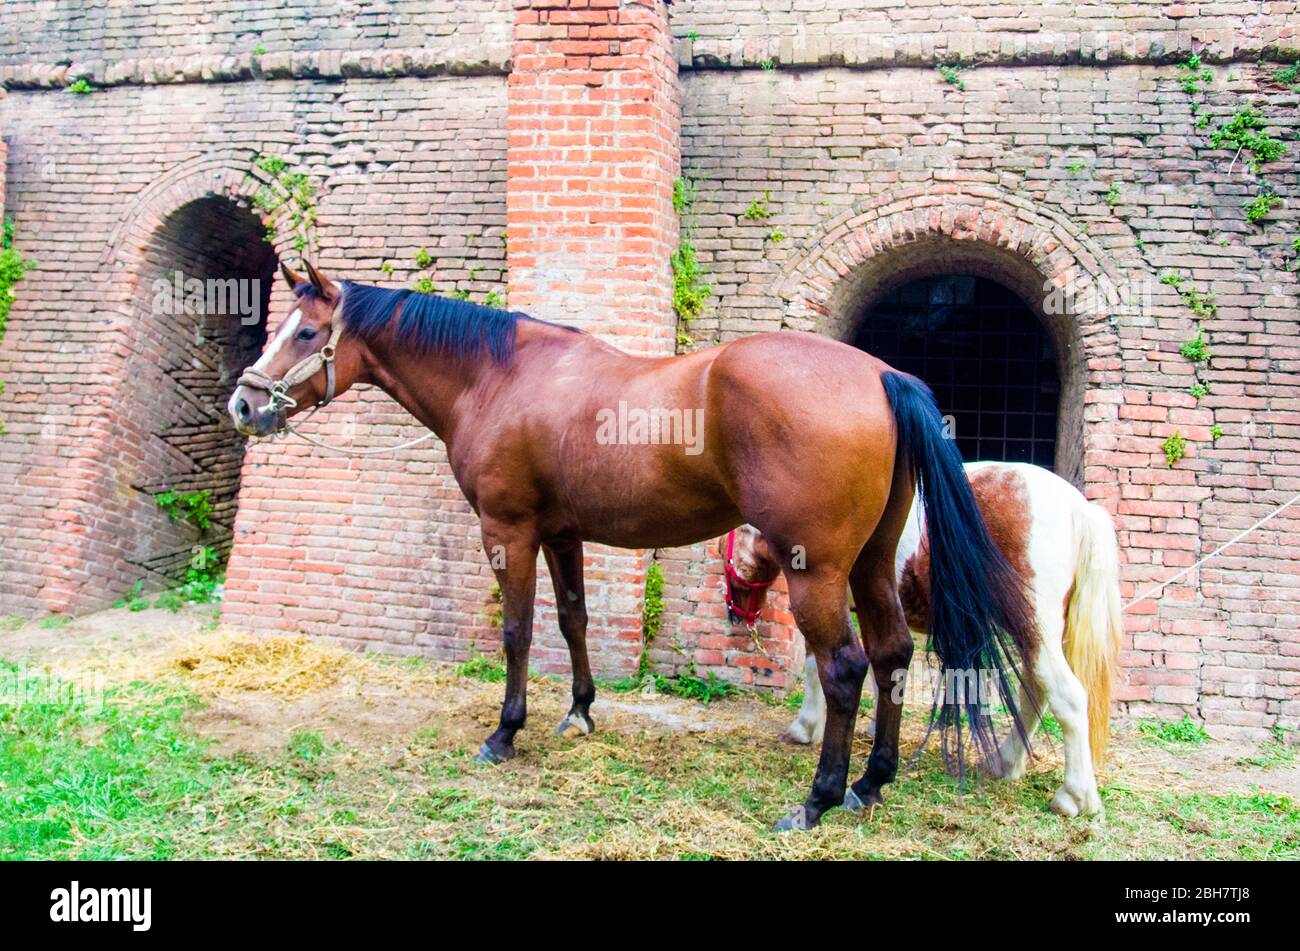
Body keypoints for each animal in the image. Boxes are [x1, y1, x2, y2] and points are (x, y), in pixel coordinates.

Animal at [228, 262, 1040, 831]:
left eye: (305, 333)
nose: (243, 402)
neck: (499, 376)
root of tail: (881, 372)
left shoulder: (508, 531)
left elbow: (518, 631)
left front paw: (505, 732)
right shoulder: (562, 535)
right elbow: (572, 622)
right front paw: (581, 711)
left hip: (816, 571)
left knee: (845, 668)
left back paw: (817, 799)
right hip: (870, 563)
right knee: (892, 654)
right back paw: (871, 784)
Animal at [728, 462, 1123, 815]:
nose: (737, 612)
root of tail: (1079, 508)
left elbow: (819, 669)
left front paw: (805, 727)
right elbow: (882, 673)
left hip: (1031, 625)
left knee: (1065, 697)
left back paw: (1072, 796)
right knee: (1035, 691)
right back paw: (1006, 762)